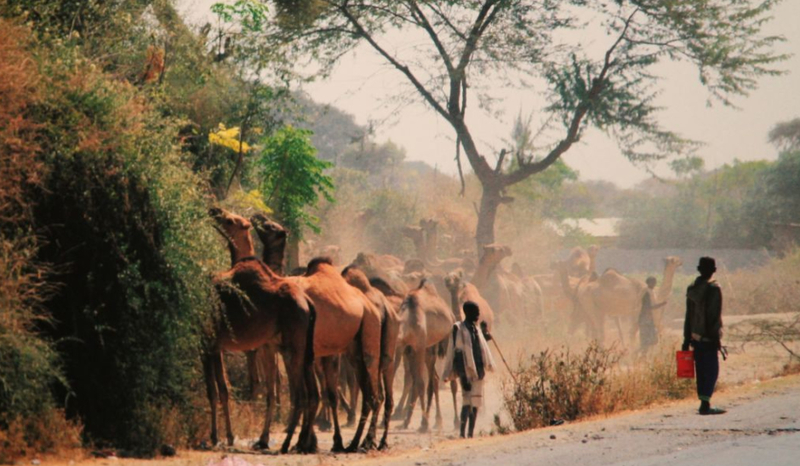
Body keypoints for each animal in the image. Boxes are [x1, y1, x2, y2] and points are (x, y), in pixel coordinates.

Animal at [206, 209, 318, 454]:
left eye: (230, 220)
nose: (214, 210)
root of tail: (308, 304)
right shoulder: (242, 347)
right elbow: (229, 389)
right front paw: (231, 436)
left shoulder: (209, 342)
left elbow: (216, 389)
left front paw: (216, 437)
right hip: (302, 352)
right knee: (311, 394)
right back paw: (300, 441)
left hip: (292, 349)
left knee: (300, 395)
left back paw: (288, 442)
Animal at [252, 215, 386, 452]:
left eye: (271, 226)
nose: (256, 217)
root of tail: (373, 308)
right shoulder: (296, 352)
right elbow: (307, 394)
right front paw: (301, 441)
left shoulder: (292, 350)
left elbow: (306, 394)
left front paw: (300, 441)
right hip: (354, 349)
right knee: (368, 394)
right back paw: (355, 442)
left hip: (369, 335)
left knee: (374, 394)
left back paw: (365, 441)